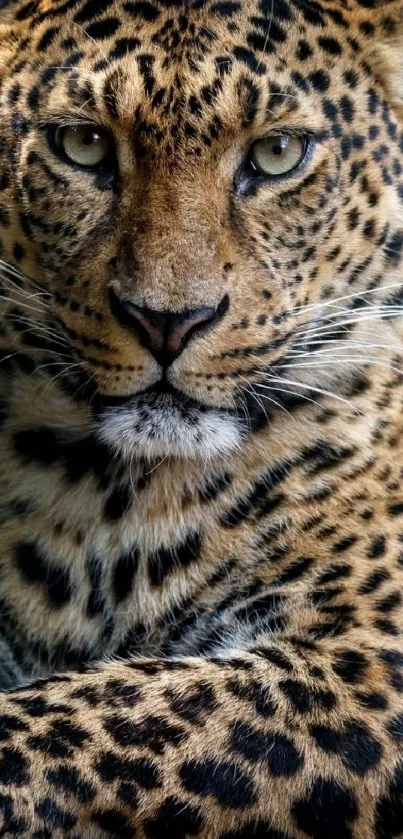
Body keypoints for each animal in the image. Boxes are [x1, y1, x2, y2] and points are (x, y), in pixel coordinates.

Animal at [0, 0, 400, 832]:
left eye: (277, 155)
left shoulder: (368, 652)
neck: (110, 499)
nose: (167, 321)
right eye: (83, 144)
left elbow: (114, 706)